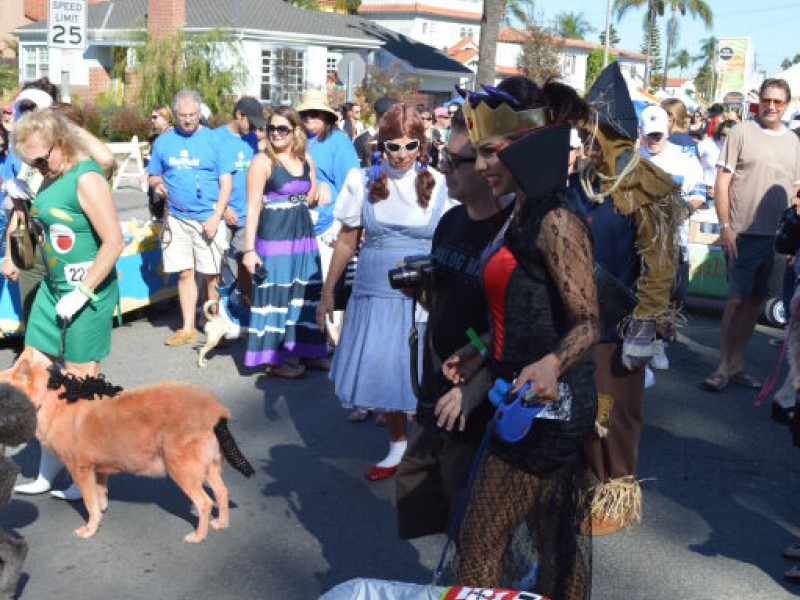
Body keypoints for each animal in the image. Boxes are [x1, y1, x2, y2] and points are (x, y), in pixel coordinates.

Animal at [0, 352, 253, 544]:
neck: (51, 399)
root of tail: (216, 410)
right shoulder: (99, 470)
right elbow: (99, 497)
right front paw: (100, 514)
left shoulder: (80, 469)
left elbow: (90, 503)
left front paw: (90, 528)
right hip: (208, 466)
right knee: (222, 492)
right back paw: (221, 522)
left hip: (182, 469)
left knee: (204, 503)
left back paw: (199, 535)